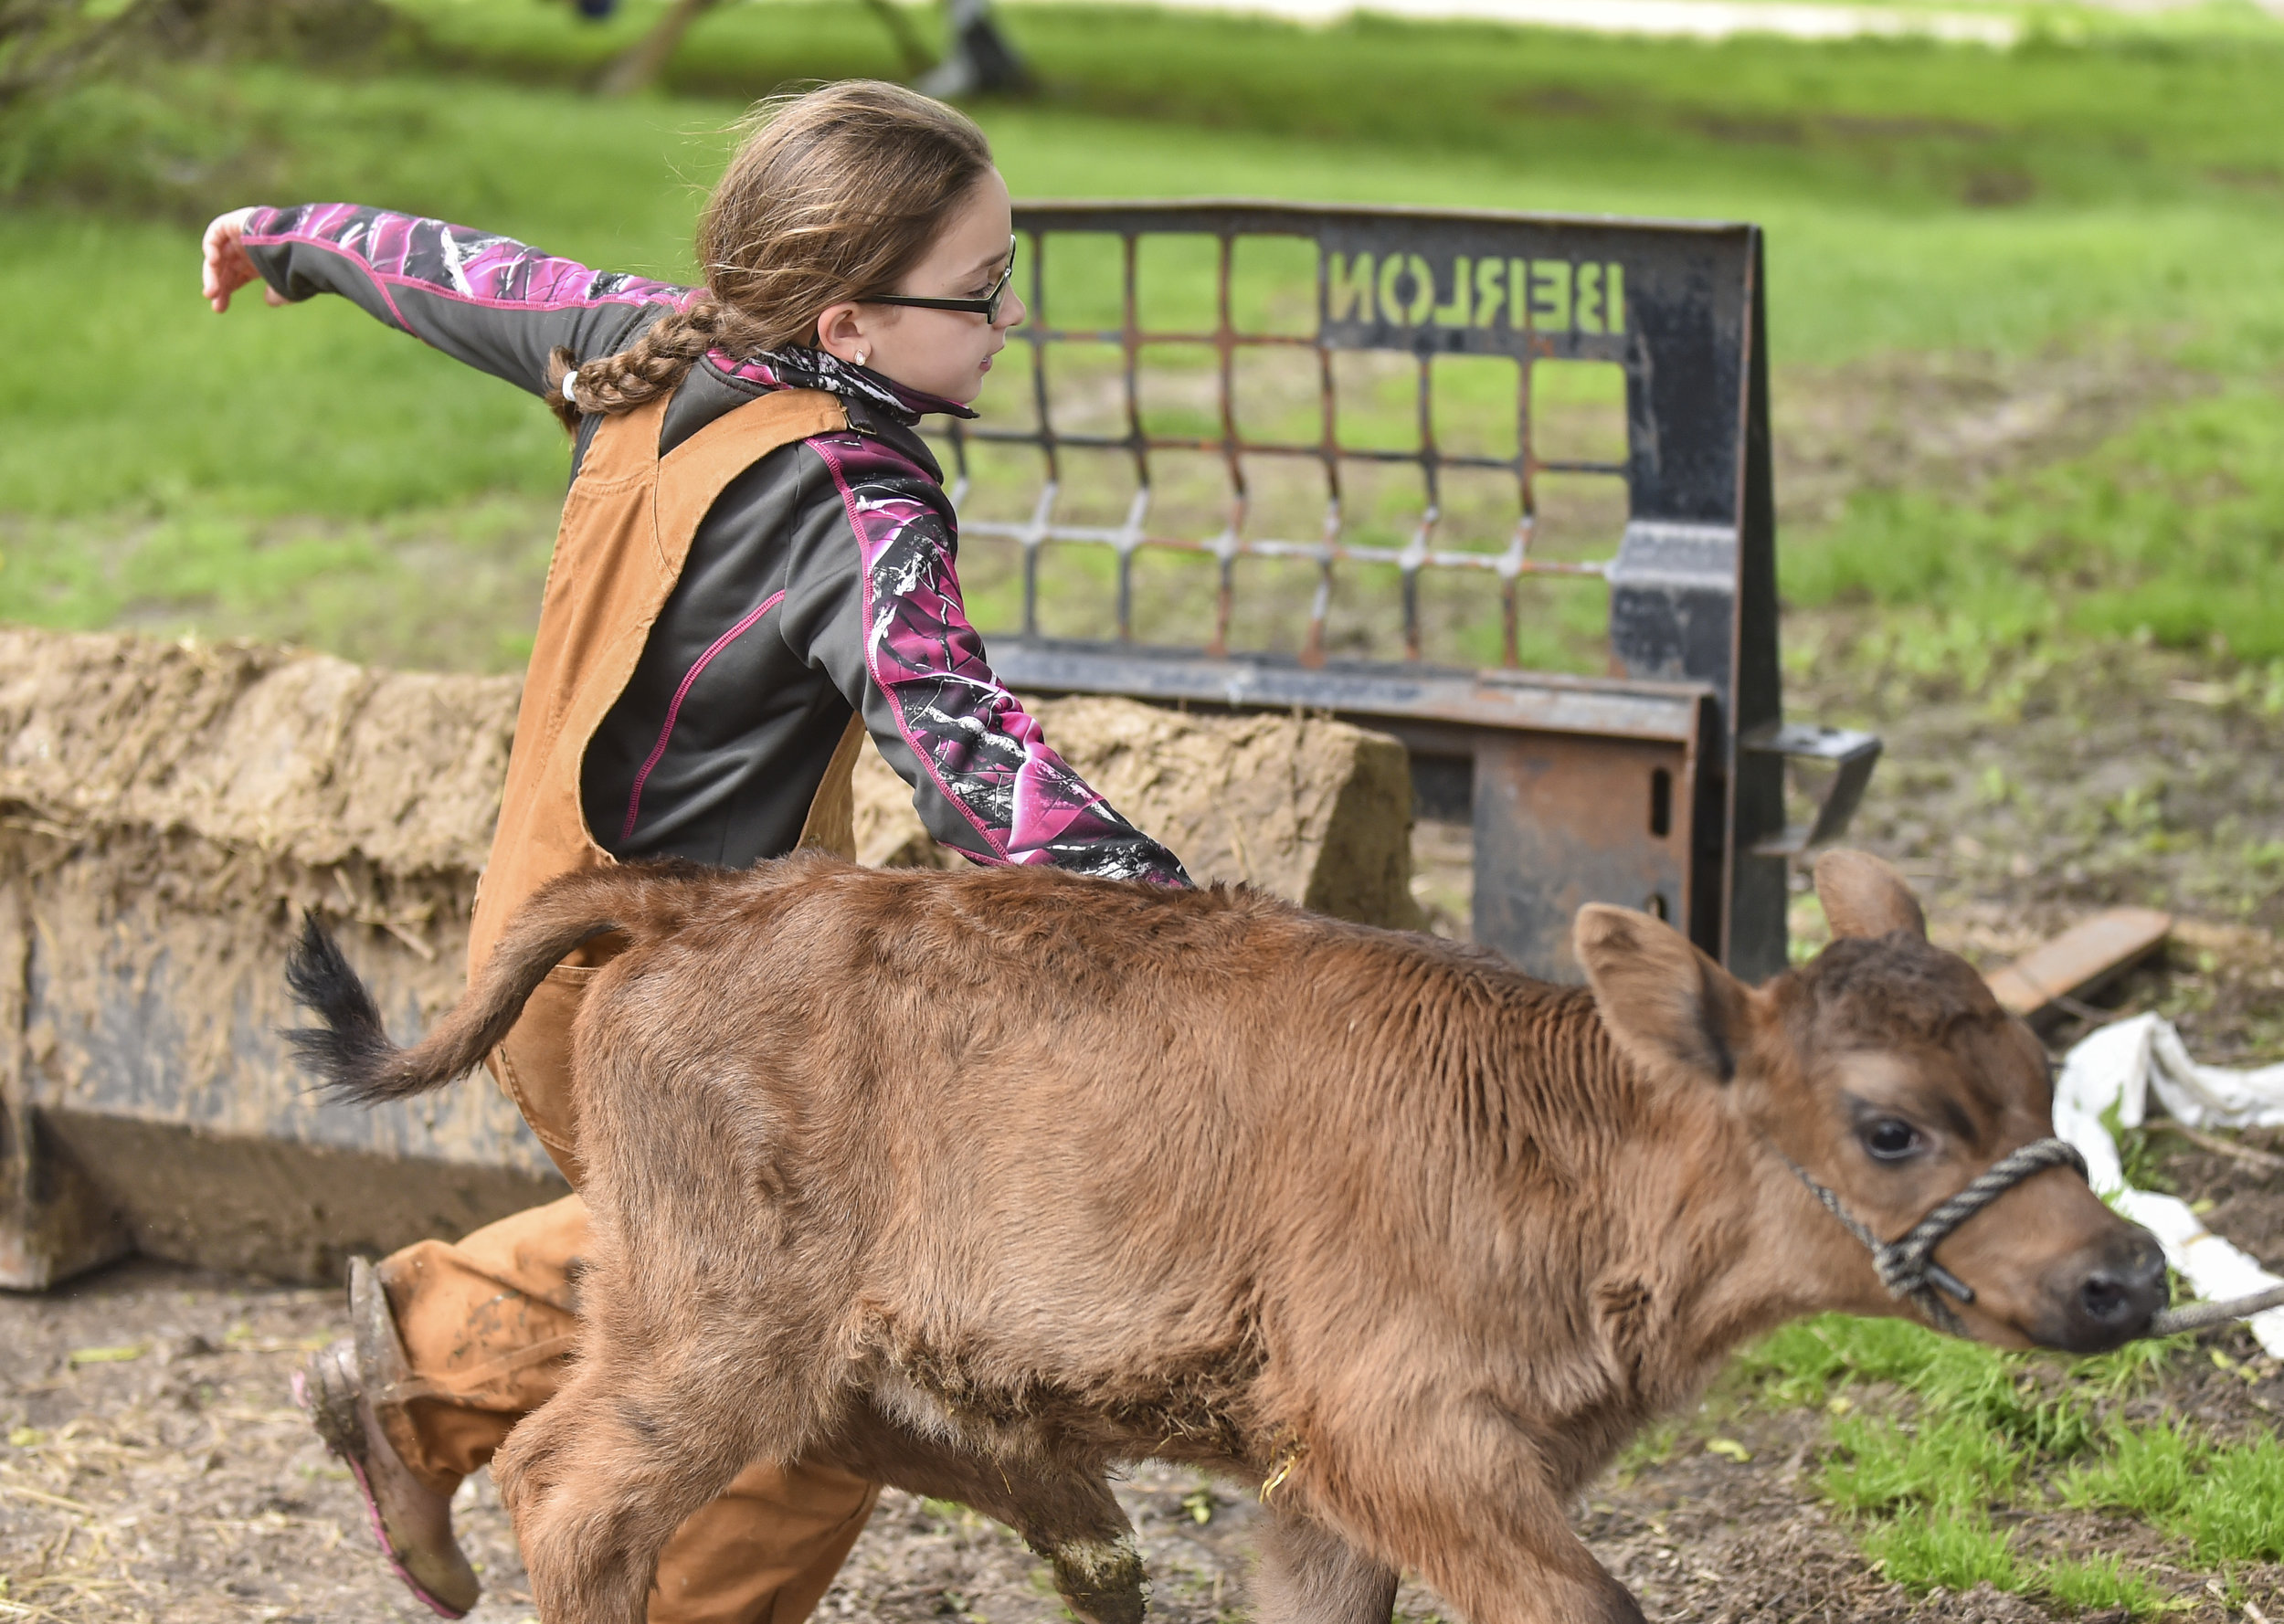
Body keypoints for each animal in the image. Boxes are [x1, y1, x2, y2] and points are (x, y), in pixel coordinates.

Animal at [285, 849, 2156, 1624]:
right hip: (722, 1326)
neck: (1565, 1146)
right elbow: (1595, 1604)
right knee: (577, 1484)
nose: (2121, 1273)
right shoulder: (1409, 1436)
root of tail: (697, 897)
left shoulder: (1329, 1487)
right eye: (1890, 1124)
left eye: (2038, 1071)